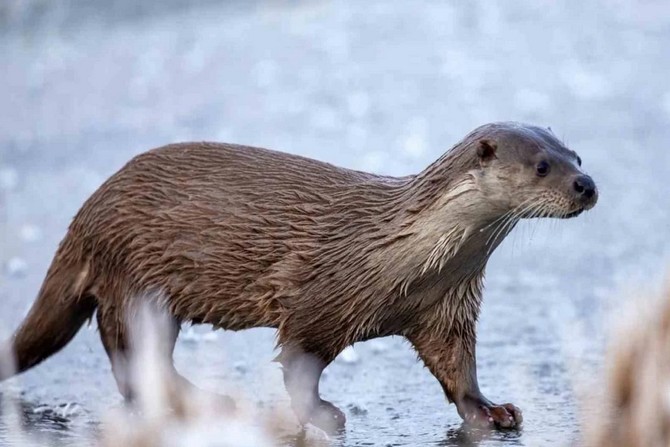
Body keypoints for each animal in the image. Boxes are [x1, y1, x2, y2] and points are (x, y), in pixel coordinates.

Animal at [0, 123, 600, 434]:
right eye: (543, 166)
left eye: (576, 154)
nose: (586, 185)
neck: (406, 260)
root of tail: (86, 215)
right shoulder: (317, 302)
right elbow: (299, 366)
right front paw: (323, 415)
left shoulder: (446, 307)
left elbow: (458, 369)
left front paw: (491, 410)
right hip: (133, 278)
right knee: (130, 356)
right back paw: (212, 401)